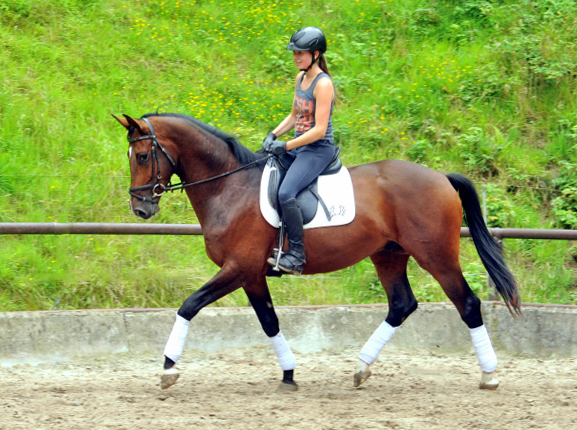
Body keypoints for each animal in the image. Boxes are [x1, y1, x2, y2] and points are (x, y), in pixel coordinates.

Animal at [115, 112, 520, 392]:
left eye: (142, 156)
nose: (140, 209)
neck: (230, 187)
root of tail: (441, 177)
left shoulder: (238, 267)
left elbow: (189, 305)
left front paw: (169, 368)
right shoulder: (251, 274)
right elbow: (269, 322)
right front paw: (289, 374)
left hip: (436, 256)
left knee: (467, 304)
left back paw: (488, 375)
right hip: (388, 255)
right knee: (401, 305)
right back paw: (361, 368)